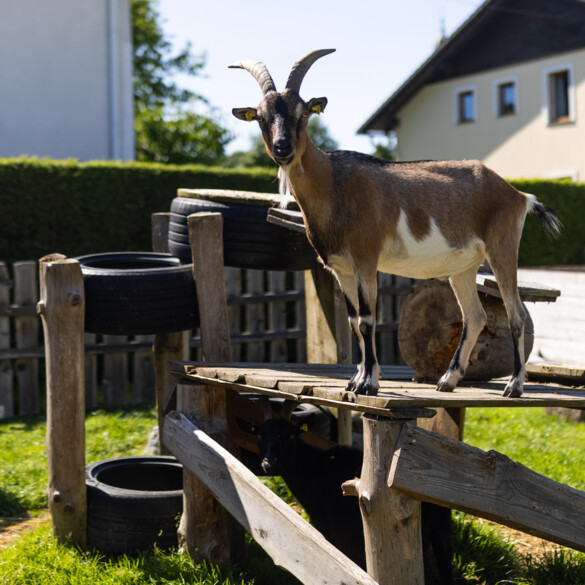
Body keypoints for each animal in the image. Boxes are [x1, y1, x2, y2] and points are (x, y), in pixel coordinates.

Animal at [229, 50, 560, 396]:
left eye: (303, 112)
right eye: (261, 117)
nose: (283, 147)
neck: (334, 183)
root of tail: (518, 194)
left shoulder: (365, 259)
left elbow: (366, 319)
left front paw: (369, 383)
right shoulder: (341, 268)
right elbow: (353, 321)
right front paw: (355, 380)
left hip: (502, 248)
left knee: (516, 314)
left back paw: (514, 385)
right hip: (465, 267)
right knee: (475, 316)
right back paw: (447, 380)